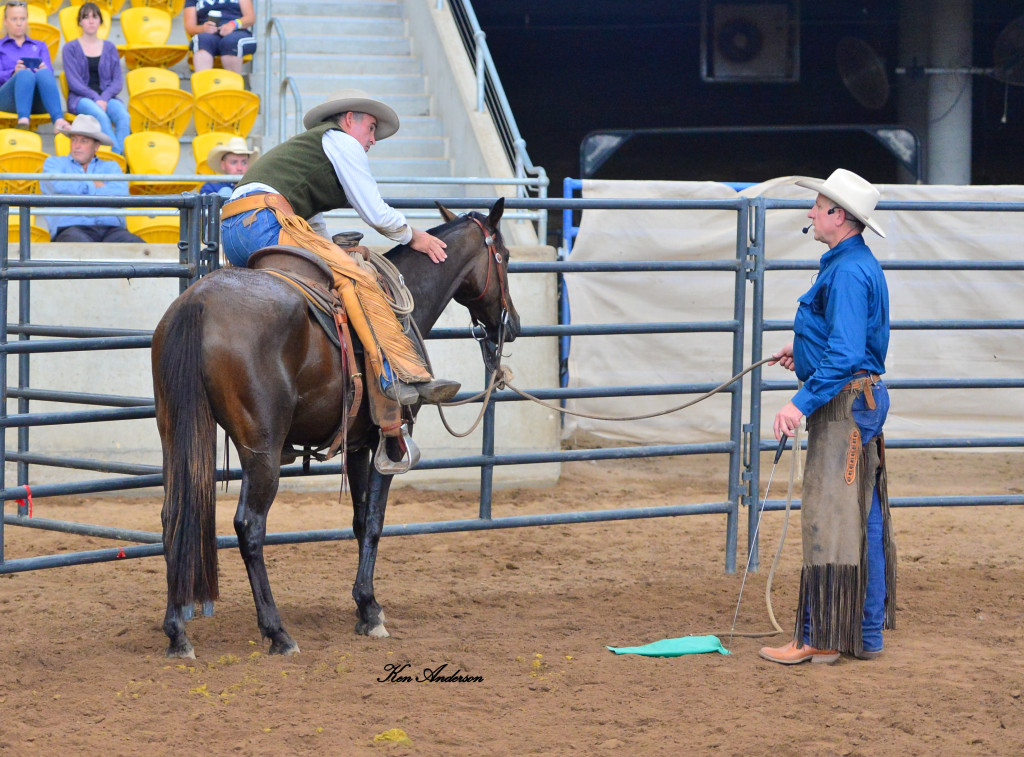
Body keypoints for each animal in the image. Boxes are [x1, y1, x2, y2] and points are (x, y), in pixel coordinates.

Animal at [149, 199, 520, 655]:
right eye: (505, 257)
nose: (512, 326)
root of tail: (197, 303)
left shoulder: (359, 444)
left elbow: (360, 520)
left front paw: (364, 605)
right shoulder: (387, 443)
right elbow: (375, 521)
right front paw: (371, 610)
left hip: (175, 432)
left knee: (173, 515)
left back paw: (177, 632)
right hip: (261, 449)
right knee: (249, 526)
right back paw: (277, 632)